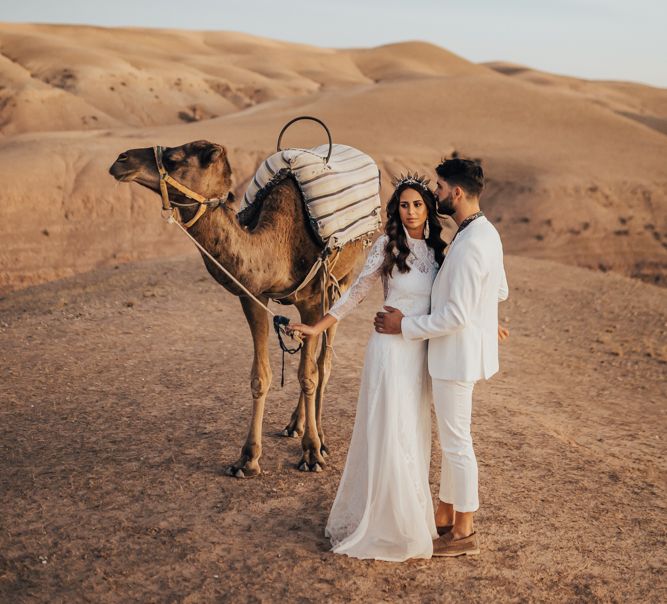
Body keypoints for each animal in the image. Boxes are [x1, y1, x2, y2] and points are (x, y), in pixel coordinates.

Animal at [110, 140, 370, 476]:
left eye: (175, 158)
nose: (121, 159)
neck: (278, 243)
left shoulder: (313, 301)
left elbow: (309, 375)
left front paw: (312, 452)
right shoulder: (254, 296)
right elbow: (261, 376)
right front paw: (247, 459)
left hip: (344, 280)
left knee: (322, 363)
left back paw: (320, 436)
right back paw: (294, 425)